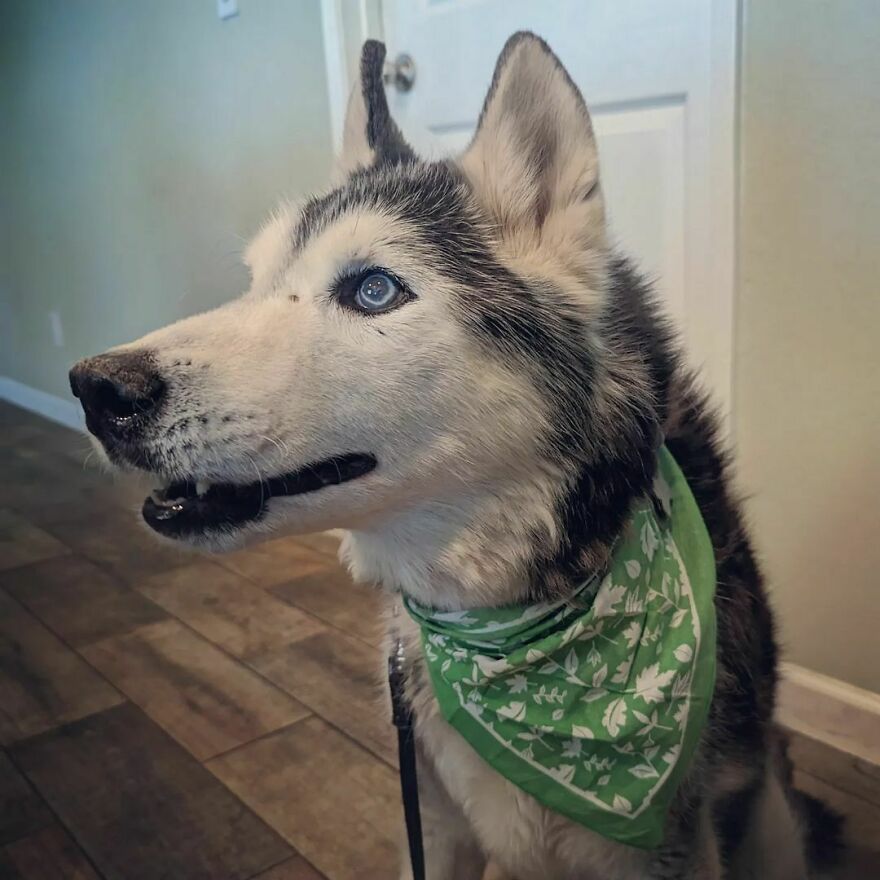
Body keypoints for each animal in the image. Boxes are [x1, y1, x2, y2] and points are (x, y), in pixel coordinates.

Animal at [70, 31, 840, 876]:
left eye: (374, 291)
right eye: (255, 281)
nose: (95, 389)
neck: (496, 619)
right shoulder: (434, 822)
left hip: (770, 819)